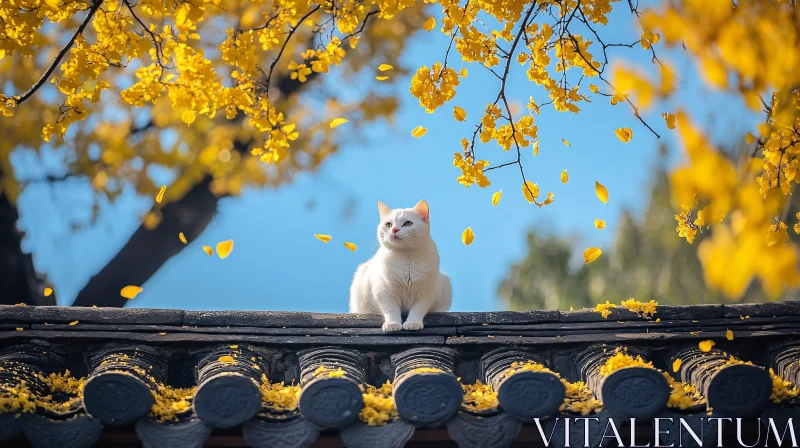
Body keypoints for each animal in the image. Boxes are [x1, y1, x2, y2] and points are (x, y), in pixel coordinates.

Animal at [348, 201, 454, 330]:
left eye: (408, 223)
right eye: (388, 224)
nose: (394, 230)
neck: (406, 258)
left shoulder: (425, 293)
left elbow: (417, 310)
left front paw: (413, 323)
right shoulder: (384, 291)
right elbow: (391, 310)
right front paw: (392, 324)